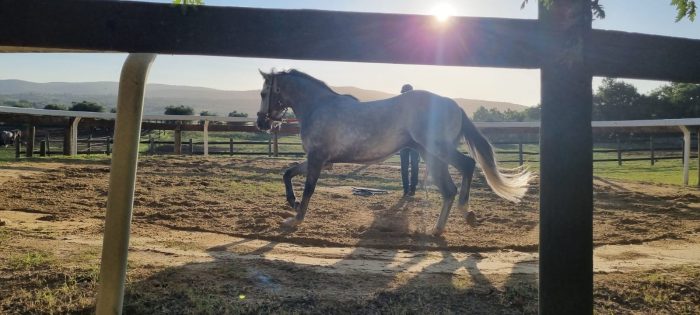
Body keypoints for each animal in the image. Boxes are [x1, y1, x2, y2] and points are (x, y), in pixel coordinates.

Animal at [258, 69, 532, 237]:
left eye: (263, 93)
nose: (261, 123)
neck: (318, 107)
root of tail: (453, 104)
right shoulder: (322, 161)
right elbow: (287, 173)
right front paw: (292, 203)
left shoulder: (317, 159)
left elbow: (308, 190)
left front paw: (295, 219)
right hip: (431, 155)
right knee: (448, 190)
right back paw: (438, 229)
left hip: (438, 149)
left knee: (466, 166)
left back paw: (467, 213)